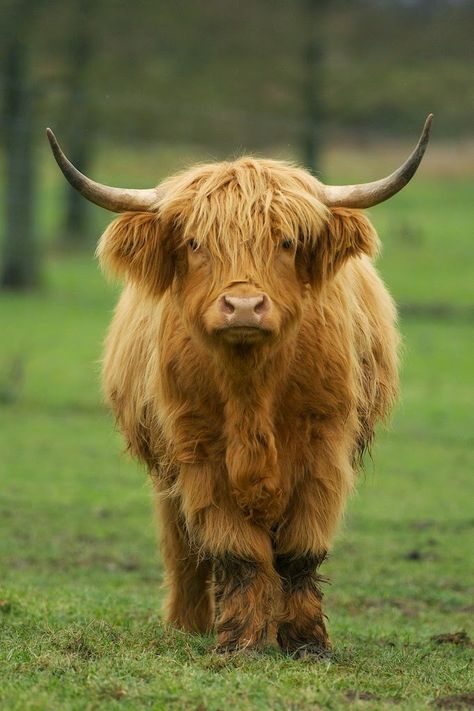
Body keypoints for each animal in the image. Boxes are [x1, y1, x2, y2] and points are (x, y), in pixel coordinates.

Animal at [48, 117, 434, 656]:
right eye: (195, 244)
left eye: (287, 242)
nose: (244, 306)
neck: (253, 391)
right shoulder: (199, 451)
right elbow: (237, 551)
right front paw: (238, 643)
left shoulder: (325, 445)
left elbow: (299, 549)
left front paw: (305, 642)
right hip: (164, 473)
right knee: (183, 547)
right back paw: (188, 623)